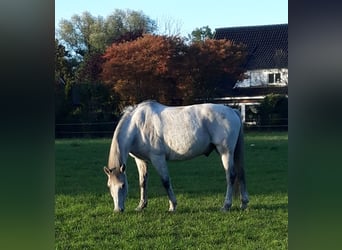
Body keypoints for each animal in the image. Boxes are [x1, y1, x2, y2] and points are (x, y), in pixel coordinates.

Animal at [103, 100, 248, 212]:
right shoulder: (141, 160)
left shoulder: (158, 158)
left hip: (226, 152)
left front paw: (173, 206)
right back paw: (243, 203)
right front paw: (141, 206)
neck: (138, 126)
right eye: (109, 186)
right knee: (240, 174)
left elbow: (165, 181)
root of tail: (232, 111)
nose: (118, 210)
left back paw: (226, 205)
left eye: (123, 185)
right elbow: (143, 182)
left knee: (231, 176)